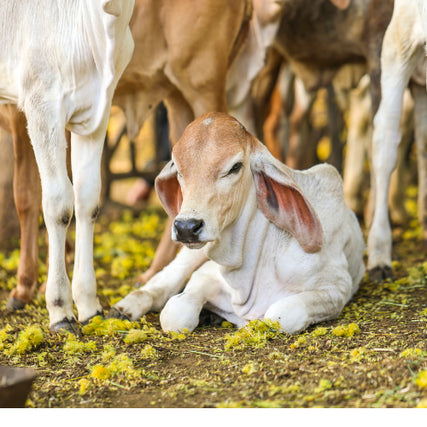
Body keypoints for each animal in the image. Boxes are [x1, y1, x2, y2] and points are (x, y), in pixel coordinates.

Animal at [112, 113, 366, 334]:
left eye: (235, 167)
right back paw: (124, 308)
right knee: (162, 282)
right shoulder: (205, 274)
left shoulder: (336, 288)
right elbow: (175, 313)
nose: (186, 227)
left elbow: (280, 314)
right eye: (178, 168)